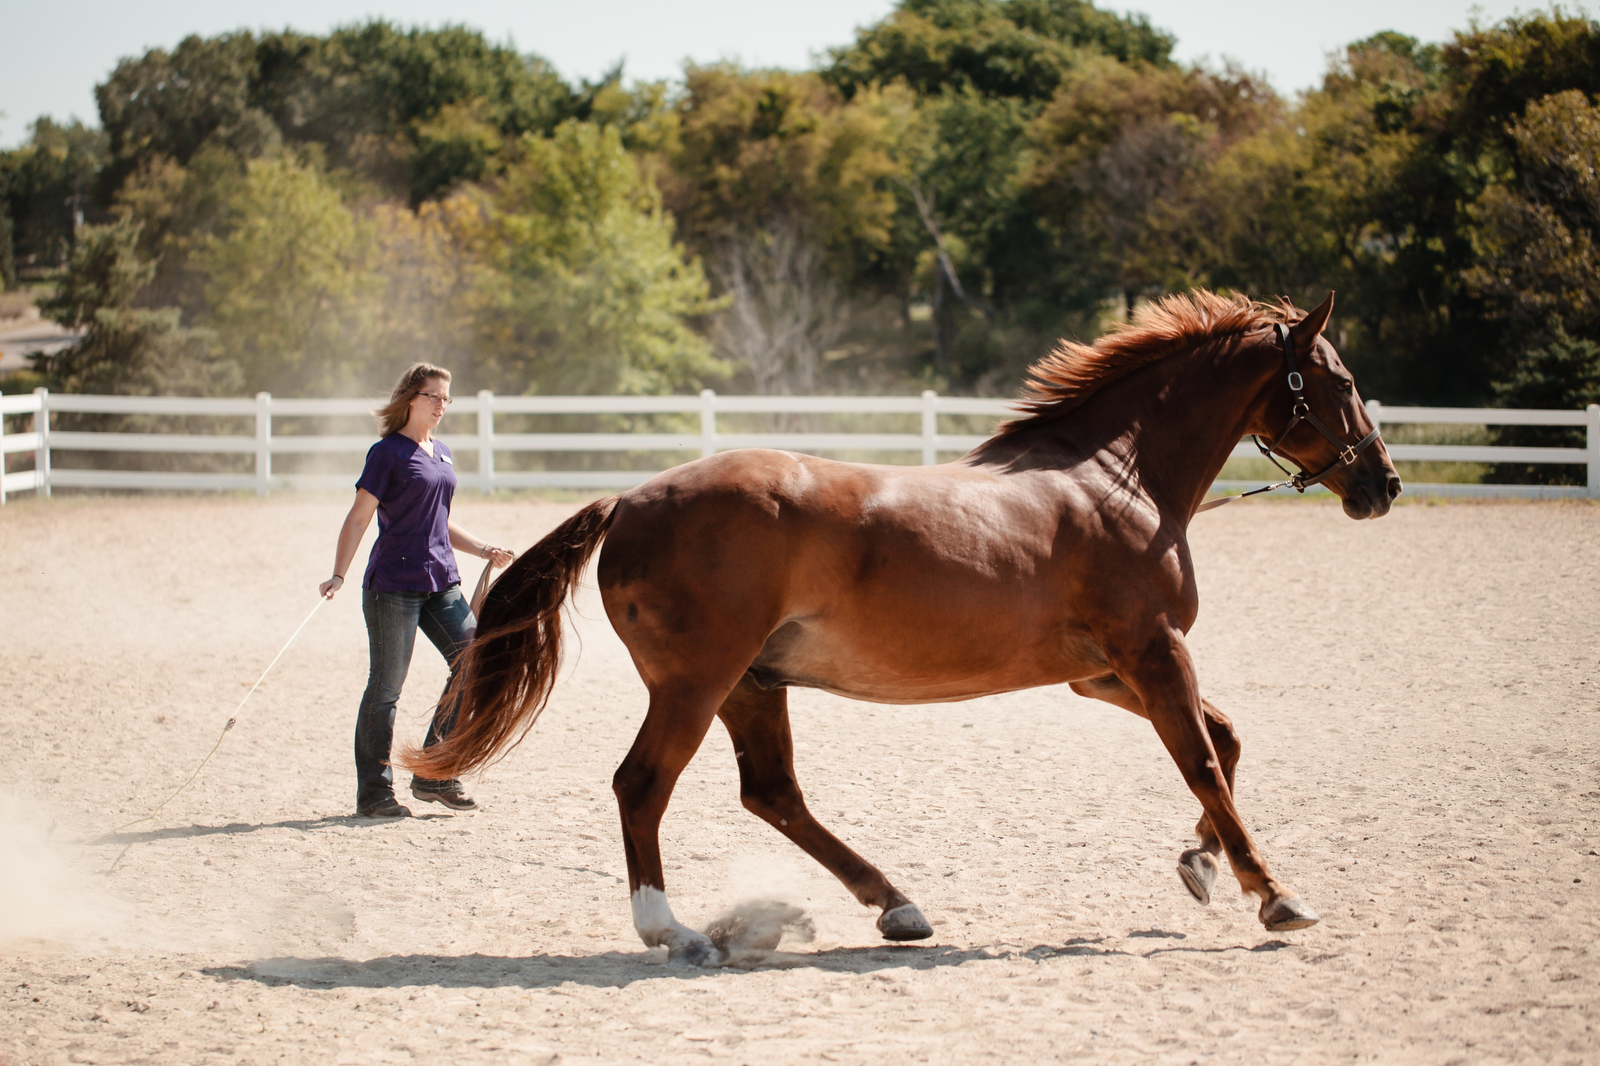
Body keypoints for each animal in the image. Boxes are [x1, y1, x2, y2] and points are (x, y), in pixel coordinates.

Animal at [403, 288, 1401, 960]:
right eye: (1343, 380)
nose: (1383, 484)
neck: (1116, 479)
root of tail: (632, 501)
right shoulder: (1152, 653)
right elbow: (1203, 759)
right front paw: (1274, 895)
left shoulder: (1105, 671)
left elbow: (1222, 745)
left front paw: (1197, 864)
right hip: (697, 684)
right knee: (644, 785)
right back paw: (673, 930)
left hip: (752, 685)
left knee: (774, 793)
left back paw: (896, 905)